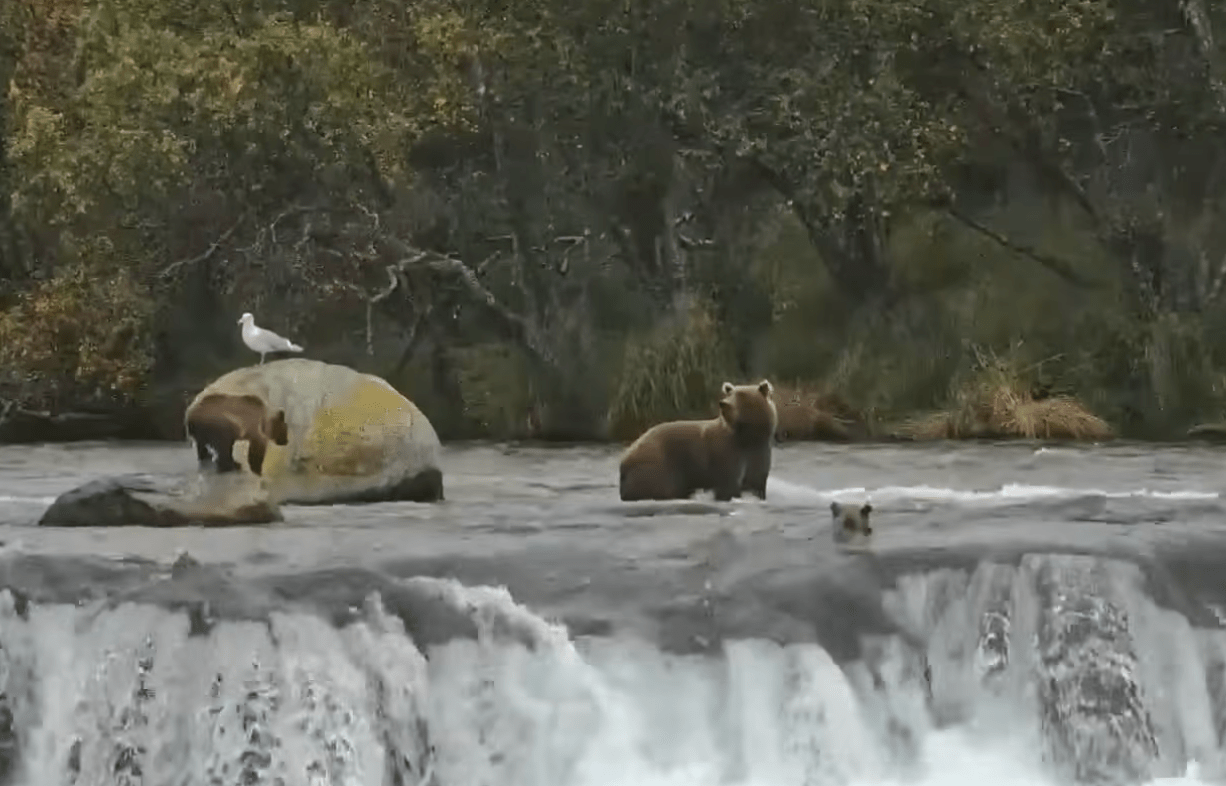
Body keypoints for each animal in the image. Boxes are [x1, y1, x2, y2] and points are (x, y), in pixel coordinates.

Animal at [618, 379, 778, 502]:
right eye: (729, 393)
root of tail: (624, 459)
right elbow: (728, 483)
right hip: (658, 464)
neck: (746, 436)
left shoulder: (759, 449)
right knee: (663, 486)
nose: (723, 404)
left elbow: (757, 480)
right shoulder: (726, 452)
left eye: (741, 394)